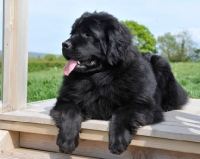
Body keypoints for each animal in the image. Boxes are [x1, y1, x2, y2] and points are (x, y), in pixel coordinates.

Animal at [50, 11, 188, 155]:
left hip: (161, 63)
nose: (64, 44)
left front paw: (118, 141)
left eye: (88, 34)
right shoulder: (64, 100)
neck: (100, 77)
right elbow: (71, 110)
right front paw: (67, 140)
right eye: (72, 33)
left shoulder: (145, 105)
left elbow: (121, 111)